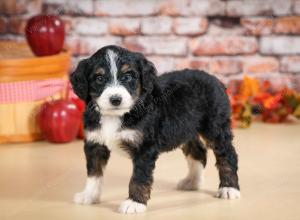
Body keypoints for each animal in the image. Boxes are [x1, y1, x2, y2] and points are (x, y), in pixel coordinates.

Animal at [69, 45, 239, 214]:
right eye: (99, 78)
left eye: (128, 76)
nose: (115, 100)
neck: (116, 115)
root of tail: (216, 80)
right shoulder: (95, 143)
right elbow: (94, 173)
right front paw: (89, 195)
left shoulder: (144, 147)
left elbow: (139, 177)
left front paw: (134, 202)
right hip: (186, 129)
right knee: (198, 152)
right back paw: (192, 181)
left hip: (215, 128)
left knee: (227, 155)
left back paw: (229, 188)